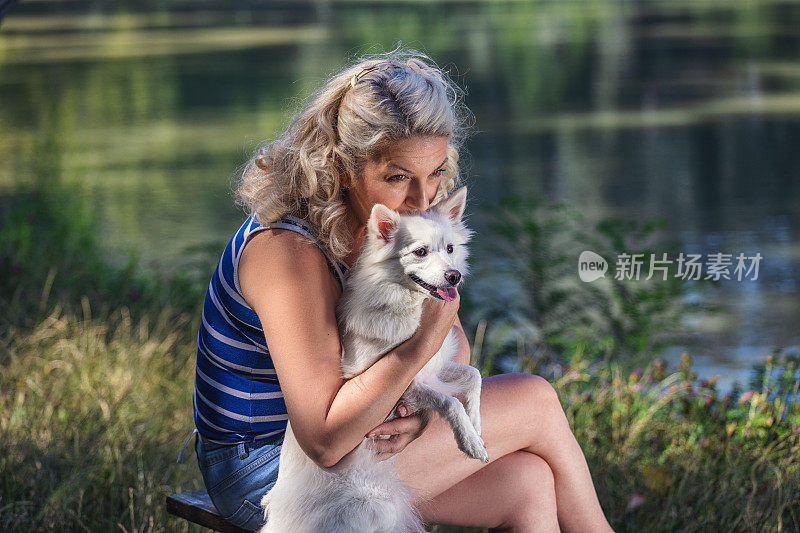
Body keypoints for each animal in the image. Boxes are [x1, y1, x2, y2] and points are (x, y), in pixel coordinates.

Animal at [260, 187, 488, 532]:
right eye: (420, 252)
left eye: (450, 249)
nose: (454, 275)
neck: (412, 304)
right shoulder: (403, 385)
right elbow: (450, 403)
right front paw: (469, 442)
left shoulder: (430, 371)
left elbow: (474, 376)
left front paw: (476, 426)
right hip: (374, 509)